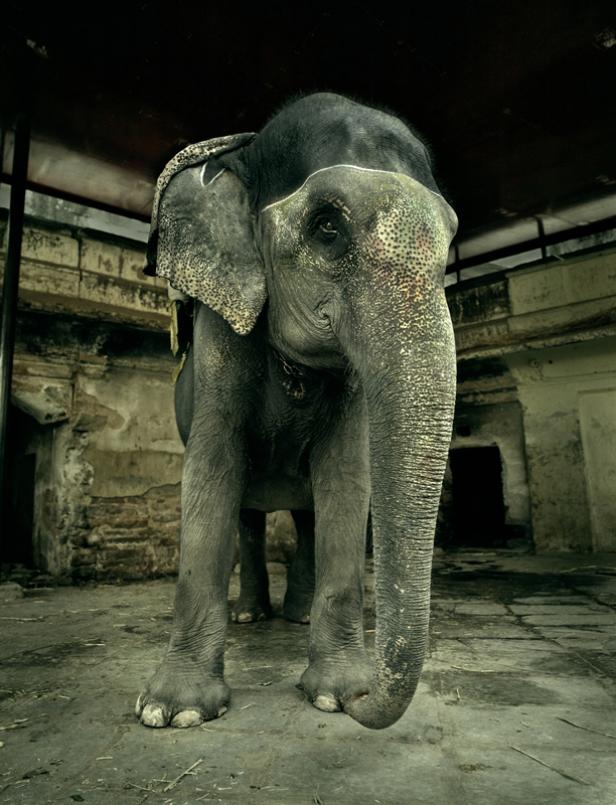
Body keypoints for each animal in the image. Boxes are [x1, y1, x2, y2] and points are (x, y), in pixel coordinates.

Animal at [135, 92, 458, 730]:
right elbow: (212, 467)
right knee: (247, 516)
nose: (365, 699)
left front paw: (334, 694)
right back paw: (250, 618)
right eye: (327, 227)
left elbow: (346, 476)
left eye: (451, 241)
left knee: (307, 513)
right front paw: (174, 712)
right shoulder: (220, 330)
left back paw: (298, 616)